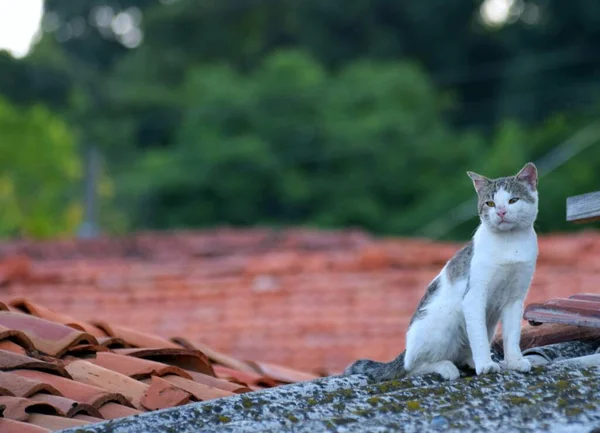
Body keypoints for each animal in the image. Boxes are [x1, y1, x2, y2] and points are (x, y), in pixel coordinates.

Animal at [346, 163, 540, 382]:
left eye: (513, 200)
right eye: (490, 203)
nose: (501, 212)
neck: (510, 245)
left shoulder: (515, 298)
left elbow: (511, 335)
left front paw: (514, 361)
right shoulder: (474, 296)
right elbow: (479, 336)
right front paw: (485, 365)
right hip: (444, 322)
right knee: (413, 366)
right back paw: (446, 367)